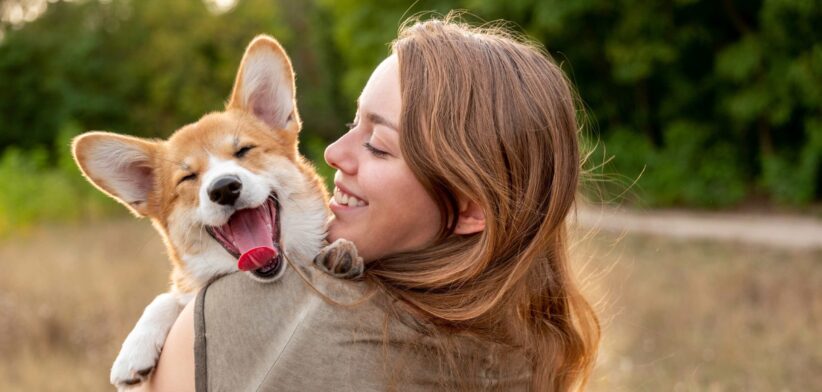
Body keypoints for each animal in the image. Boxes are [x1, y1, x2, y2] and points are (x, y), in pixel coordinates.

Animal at [72, 36, 362, 388]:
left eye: (243, 151)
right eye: (188, 177)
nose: (224, 188)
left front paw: (341, 254)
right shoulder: (188, 288)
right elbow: (167, 297)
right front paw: (134, 350)